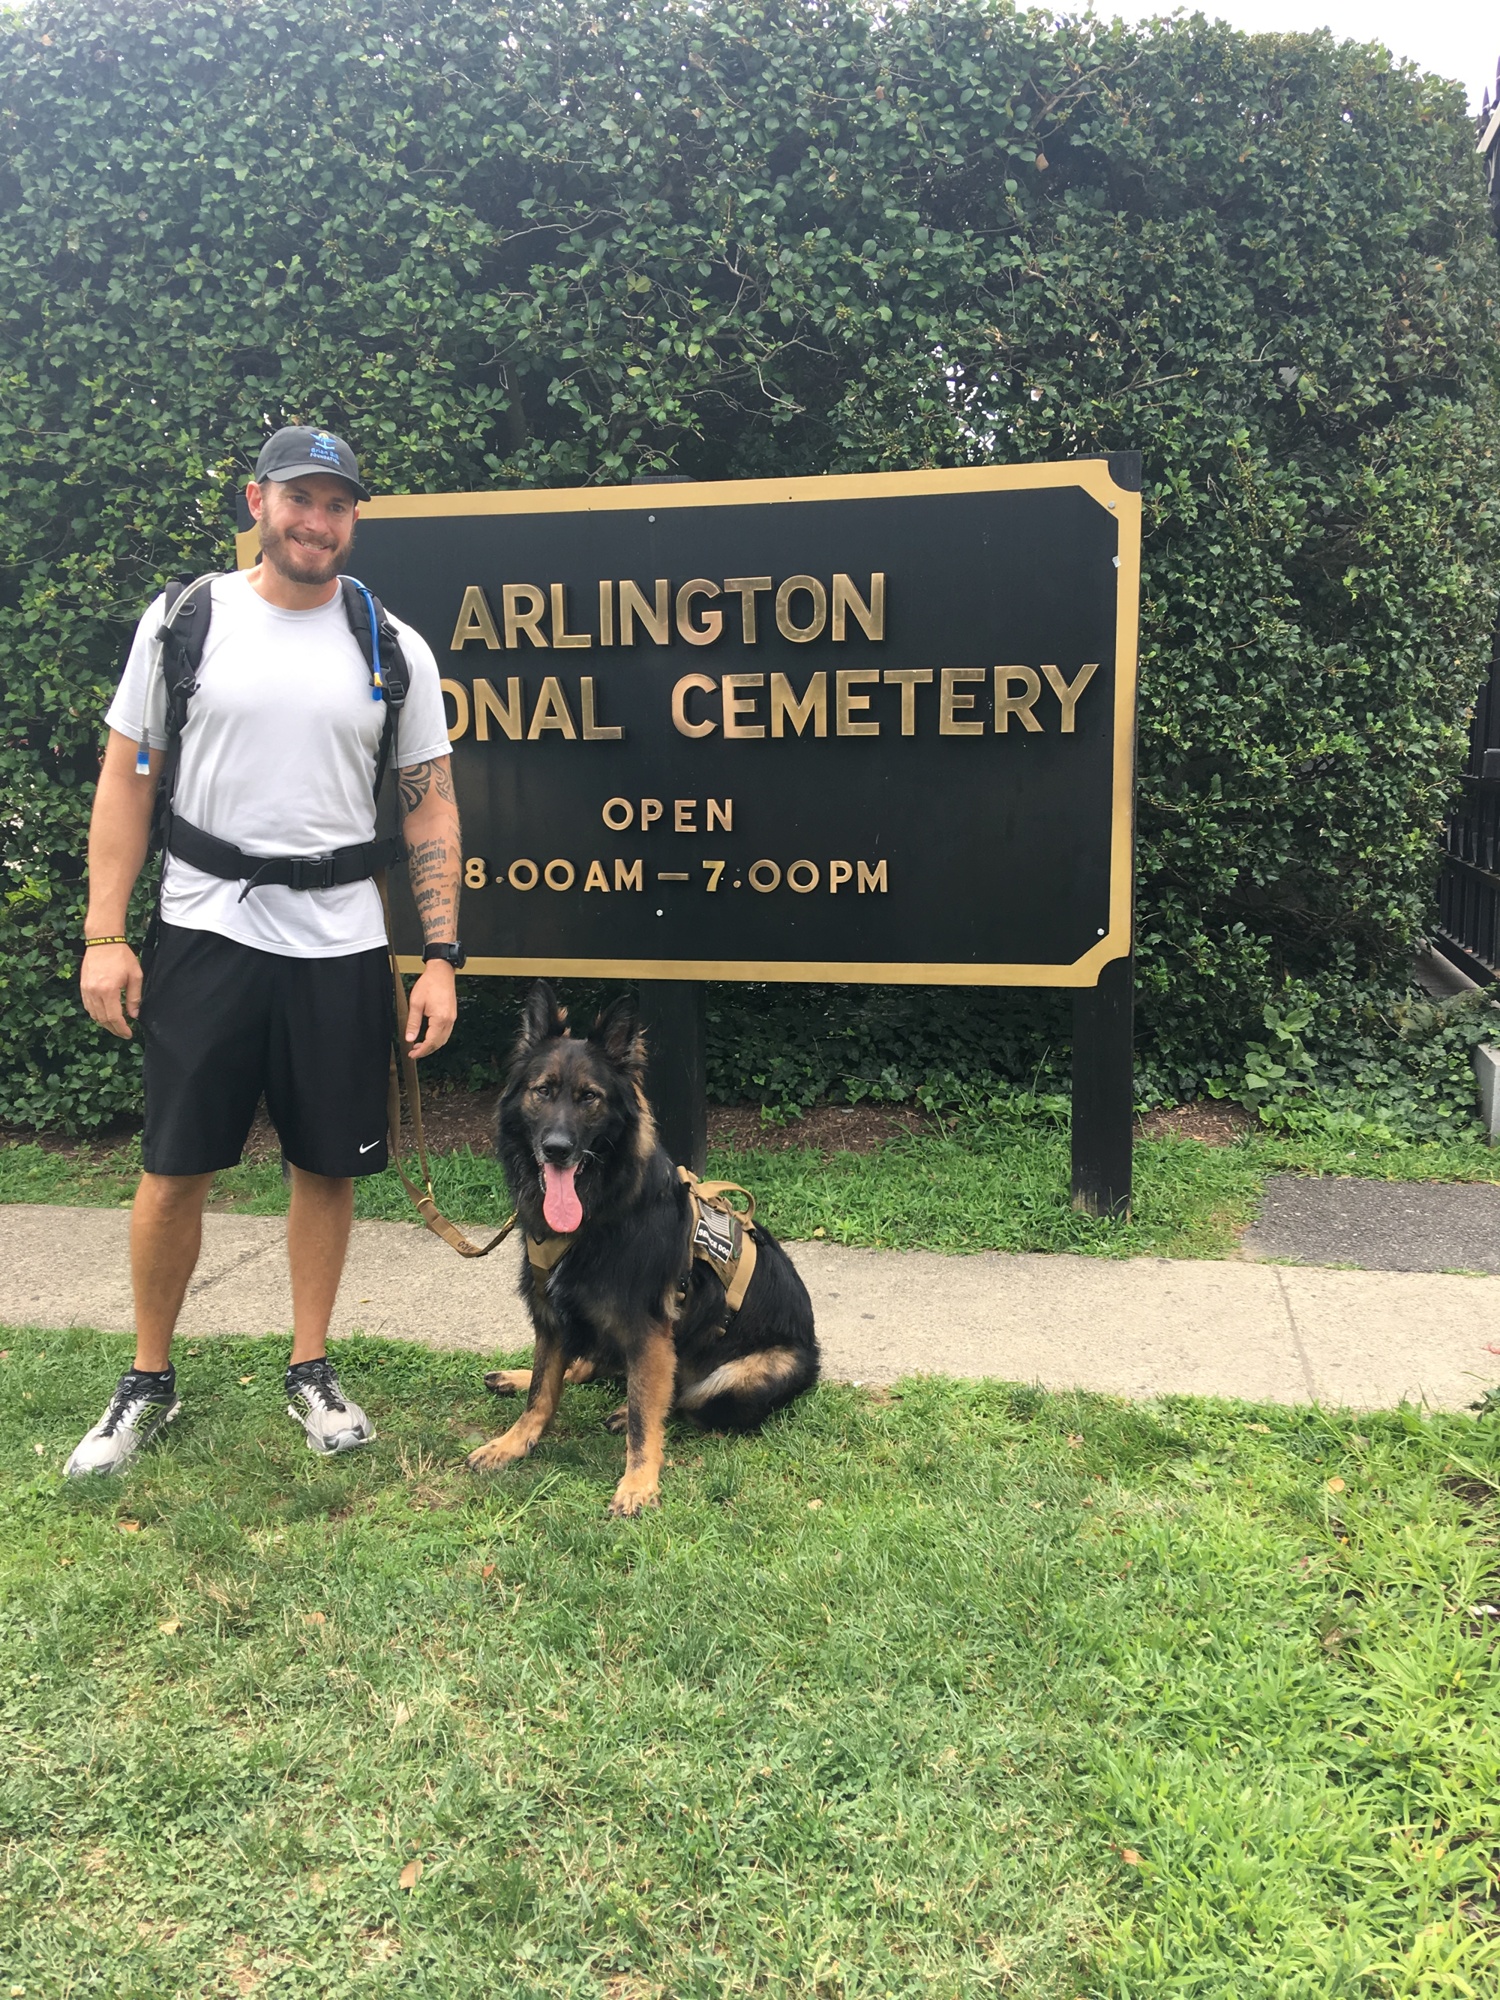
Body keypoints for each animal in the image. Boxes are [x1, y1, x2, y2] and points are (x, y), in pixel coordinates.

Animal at [472, 984, 816, 1512]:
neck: (602, 1210)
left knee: (679, 1397)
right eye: (543, 1091)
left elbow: (642, 1414)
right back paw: (515, 1376)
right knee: (589, 1366)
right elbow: (542, 1390)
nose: (557, 1149)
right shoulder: (551, 1317)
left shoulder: (648, 1333)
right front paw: (513, 1441)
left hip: (738, 1379)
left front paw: (638, 1481)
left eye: (589, 1098)